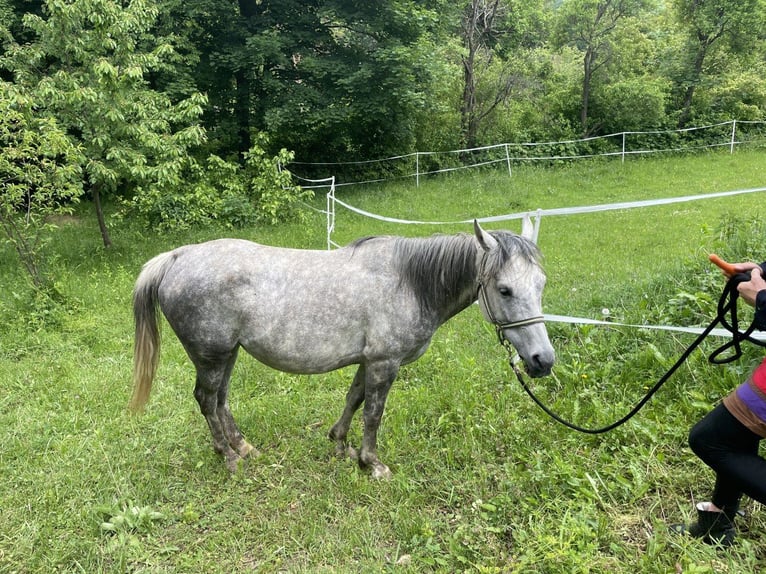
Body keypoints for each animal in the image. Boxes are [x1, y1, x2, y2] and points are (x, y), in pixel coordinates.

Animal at [129, 221, 555, 479]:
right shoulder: (385, 362)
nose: (543, 360)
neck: (410, 283)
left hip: (228, 353)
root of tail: (176, 258)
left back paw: (243, 447)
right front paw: (372, 463)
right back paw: (229, 457)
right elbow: (373, 414)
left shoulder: (369, 360)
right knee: (206, 399)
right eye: (504, 289)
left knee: (220, 400)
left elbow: (353, 399)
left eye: (541, 284)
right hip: (212, 355)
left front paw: (340, 444)